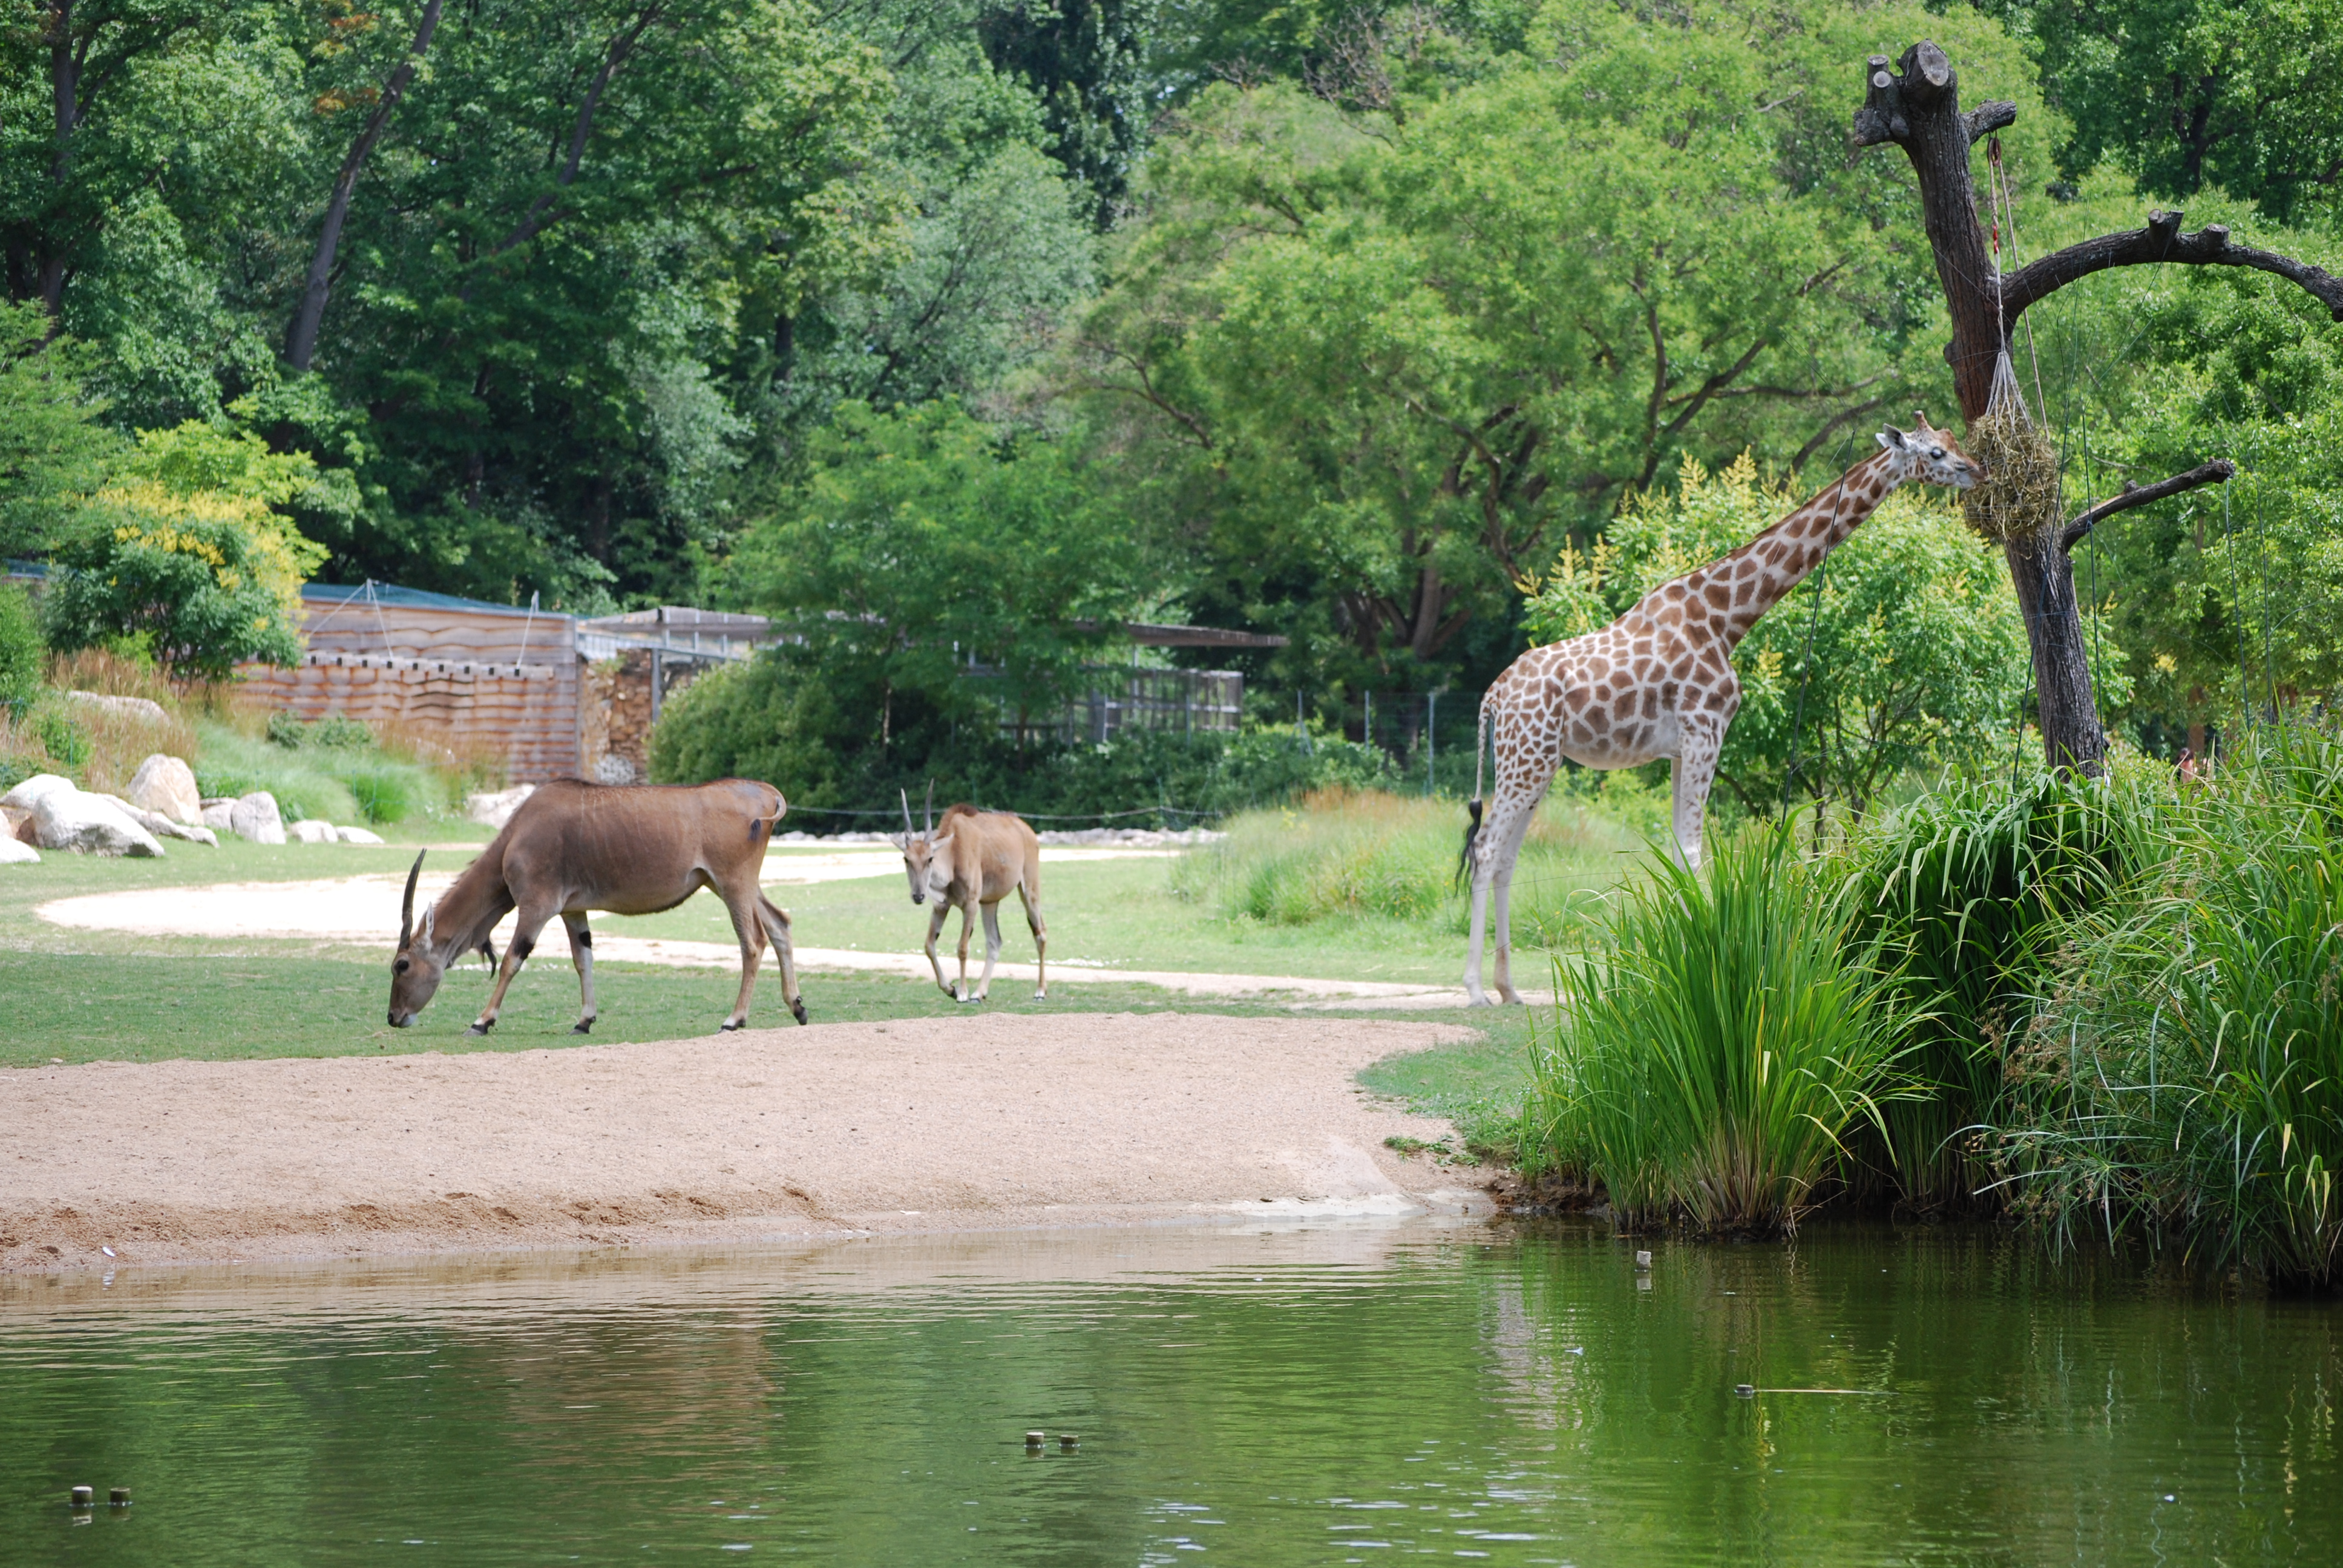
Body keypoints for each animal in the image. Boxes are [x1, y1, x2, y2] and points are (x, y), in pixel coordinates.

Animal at [388, 778, 810, 1031]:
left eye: (401, 965)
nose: (394, 1017)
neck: (517, 834)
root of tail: (766, 793)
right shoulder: (573, 911)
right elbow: (583, 960)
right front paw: (584, 1020)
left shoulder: (537, 907)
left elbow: (512, 960)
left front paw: (482, 1020)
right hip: (738, 886)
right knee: (781, 925)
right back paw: (798, 1007)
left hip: (733, 884)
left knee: (752, 942)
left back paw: (734, 1019)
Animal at [895, 783, 1044, 1003]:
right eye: (907, 859)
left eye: (930, 858)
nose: (919, 896)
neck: (953, 852)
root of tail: (1027, 830)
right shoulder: (941, 906)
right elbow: (929, 945)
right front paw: (951, 989)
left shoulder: (971, 905)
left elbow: (963, 948)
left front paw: (962, 993)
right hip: (989, 903)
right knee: (994, 942)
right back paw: (979, 993)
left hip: (1029, 891)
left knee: (1040, 933)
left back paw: (1040, 991)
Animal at [1462, 414, 1977, 1003]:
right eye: (1935, 453)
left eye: (1954, 442)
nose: (1975, 471)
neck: (1728, 619)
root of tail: (1493, 696)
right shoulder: (1705, 730)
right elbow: (1692, 851)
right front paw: (1705, 969)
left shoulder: (1681, 747)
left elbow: (1678, 852)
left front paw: (1680, 969)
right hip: (1526, 759)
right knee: (1485, 849)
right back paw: (1475, 989)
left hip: (1539, 761)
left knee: (1506, 857)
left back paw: (1508, 989)